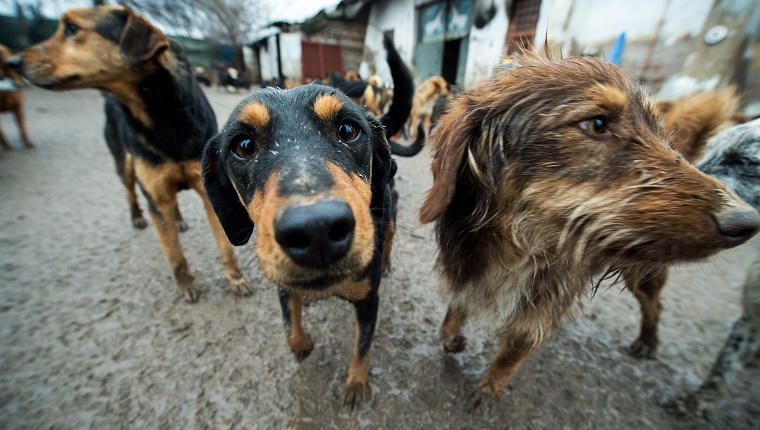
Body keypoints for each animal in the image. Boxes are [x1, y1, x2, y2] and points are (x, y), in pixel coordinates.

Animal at [8, 5, 252, 302]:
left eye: (72, 29)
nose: (13, 62)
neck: (163, 120)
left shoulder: (206, 191)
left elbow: (225, 247)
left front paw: (236, 279)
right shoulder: (155, 189)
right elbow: (174, 253)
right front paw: (186, 285)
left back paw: (178, 219)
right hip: (123, 165)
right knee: (131, 192)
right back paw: (137, 216)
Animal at [418, 53, 760, 410]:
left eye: (658, 131)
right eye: (595, 124)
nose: (746, 221)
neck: (513, 245)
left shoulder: (541, 304)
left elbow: (513, 352)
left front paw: (488, 389)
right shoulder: (463, 268)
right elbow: (454, 311)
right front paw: (452, 337)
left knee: (653, 305)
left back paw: (647, 340)